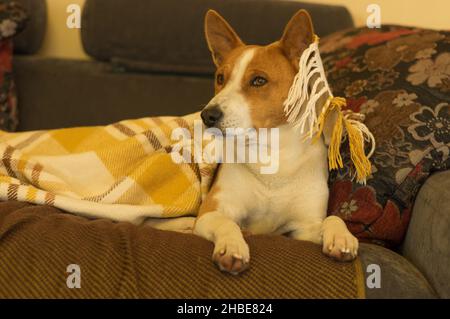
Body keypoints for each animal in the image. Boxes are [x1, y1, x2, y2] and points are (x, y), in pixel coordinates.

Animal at [190, 8, 358, 276]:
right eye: (220, 78)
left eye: (259, 80)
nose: (208, 115)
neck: (272, 156)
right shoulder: (210, 212)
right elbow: (228, 224)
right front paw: (232, 246)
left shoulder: (304, 228)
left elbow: (333, 218)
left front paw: (341, 237)